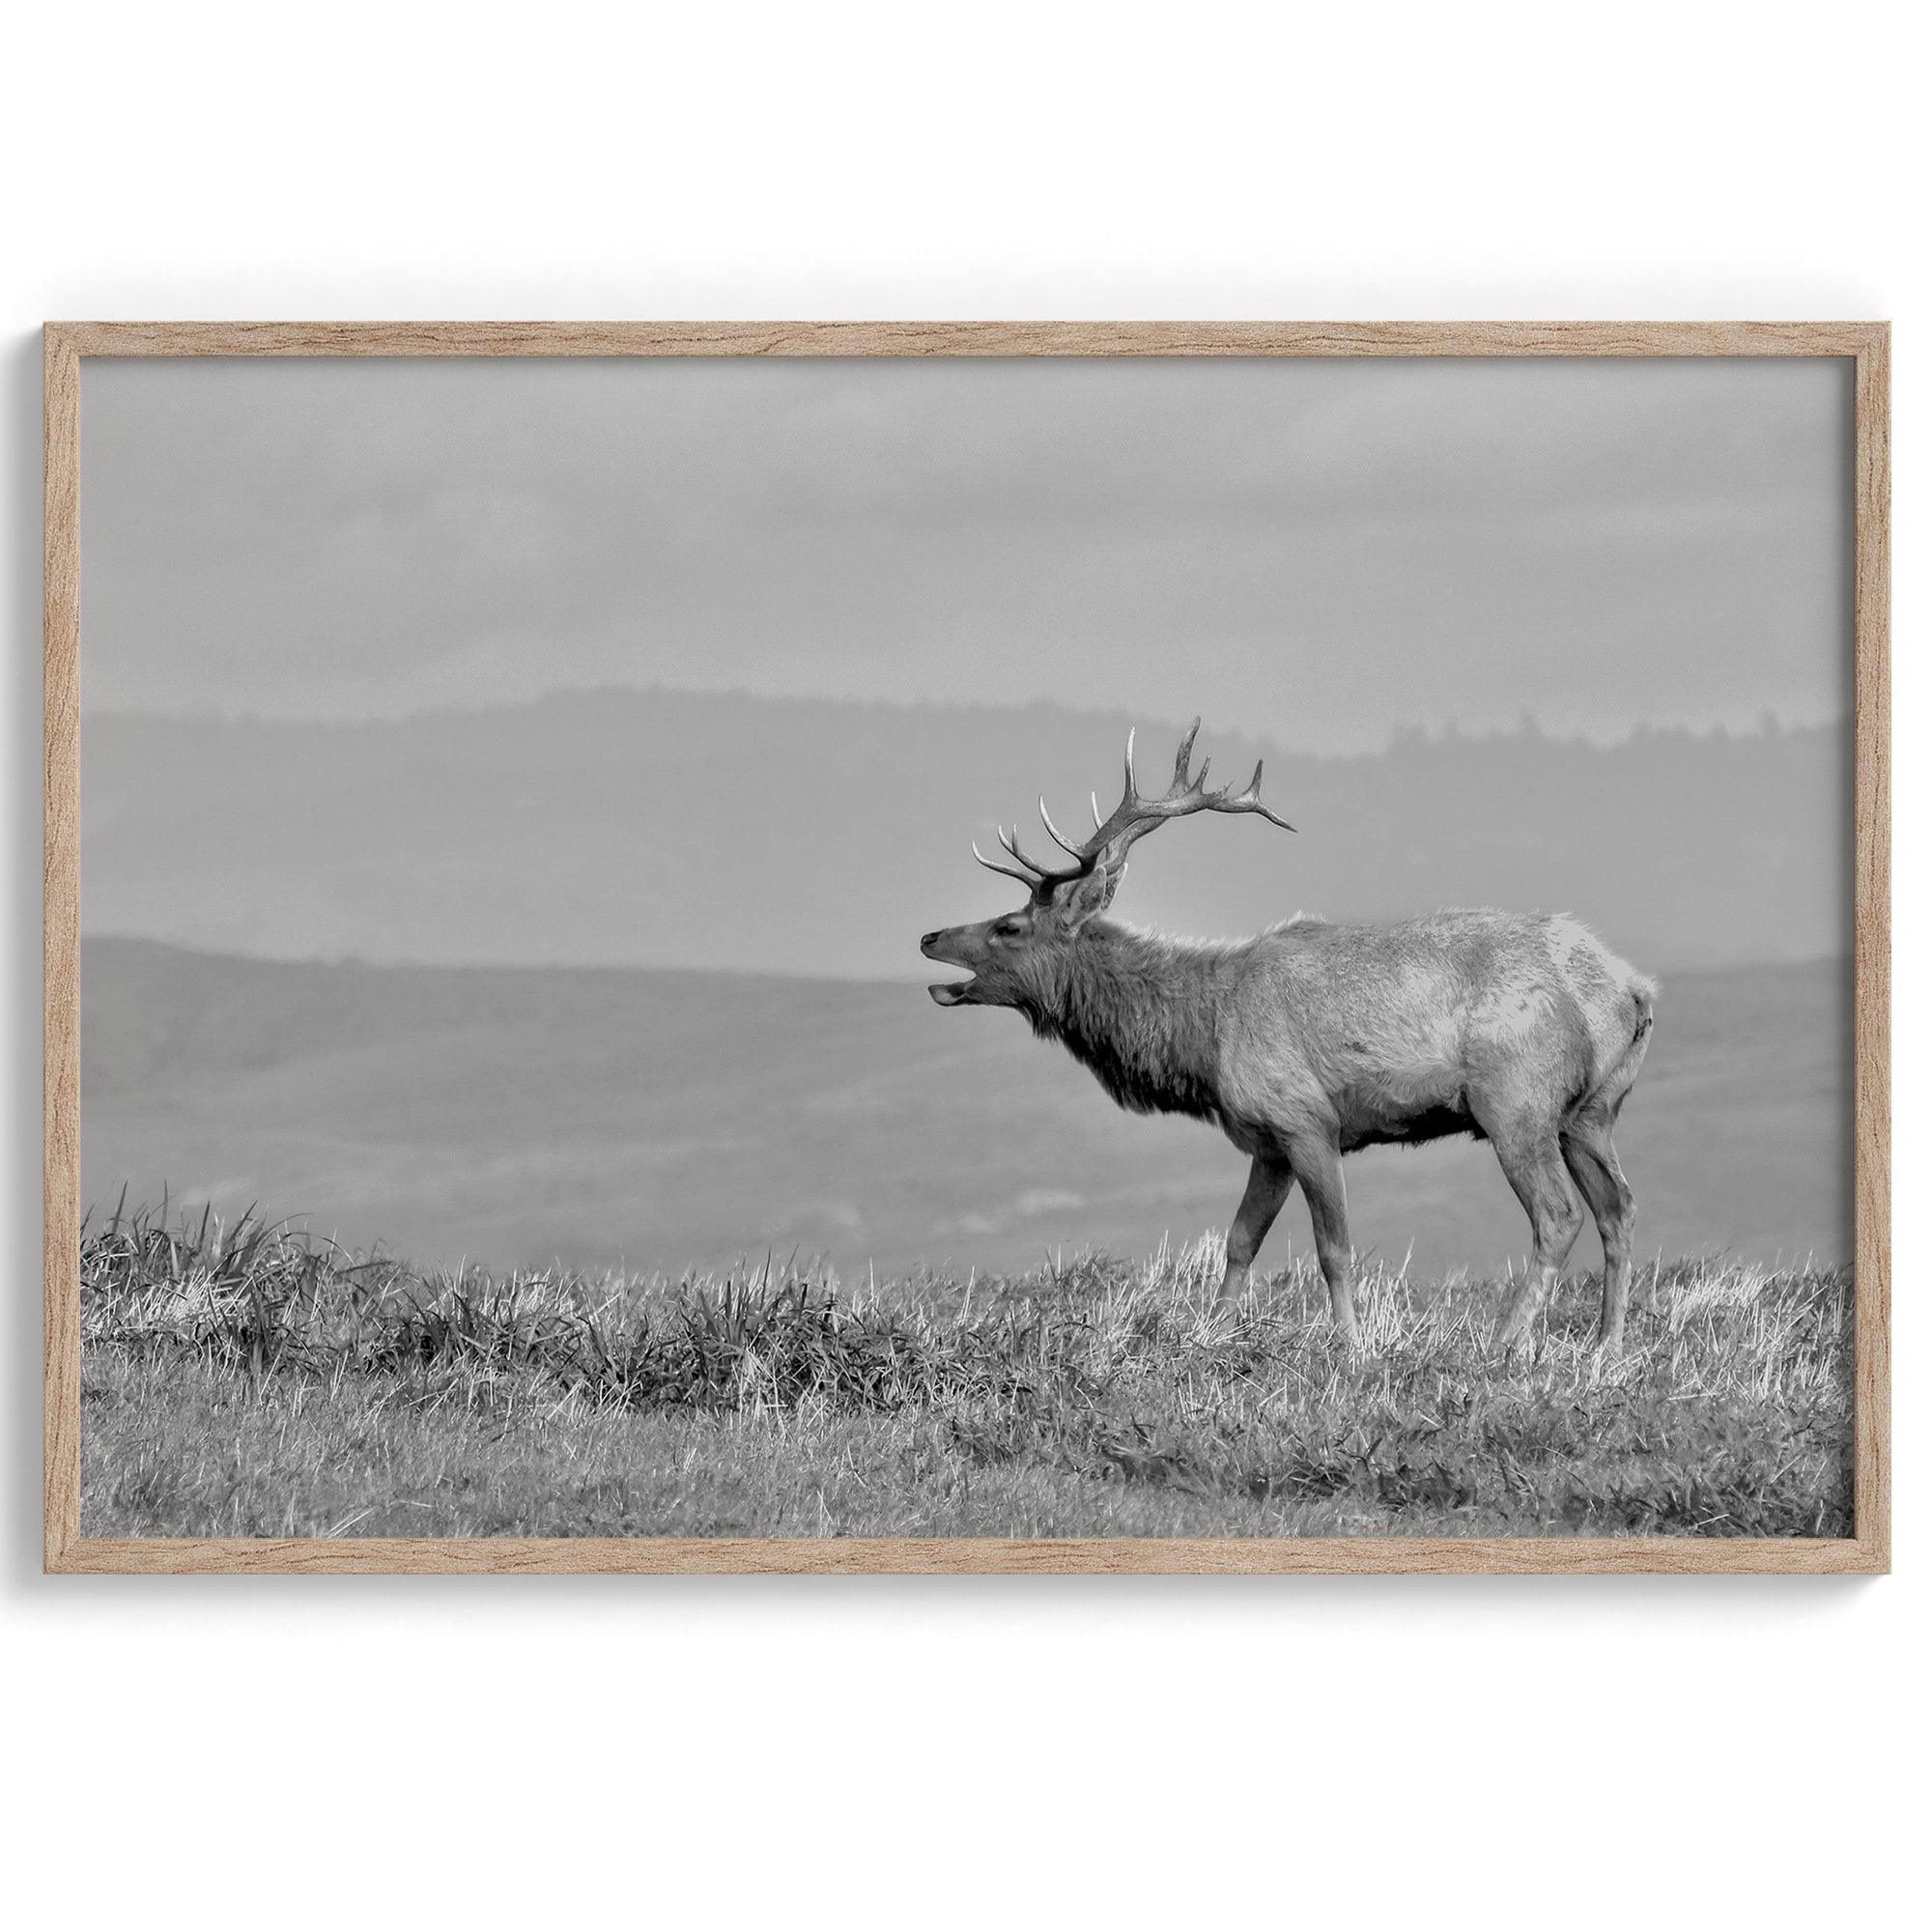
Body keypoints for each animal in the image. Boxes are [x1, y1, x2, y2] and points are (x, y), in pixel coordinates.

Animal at [923, 719, 1662, 1352]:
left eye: (1010, 926)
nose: (930, 936)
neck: (1202, 1036)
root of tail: (1634, 989)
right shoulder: (1266, 1142)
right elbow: (1238, 1242)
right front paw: (1213, 1334)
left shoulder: (1308, 1121)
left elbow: (1334, 1249)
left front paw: (1350, 1346)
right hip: (1591, 1112)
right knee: (1619, 1209)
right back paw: (1608, 1343)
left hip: (1517, 1102)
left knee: (1558, 1215)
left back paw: (1504, 1343)